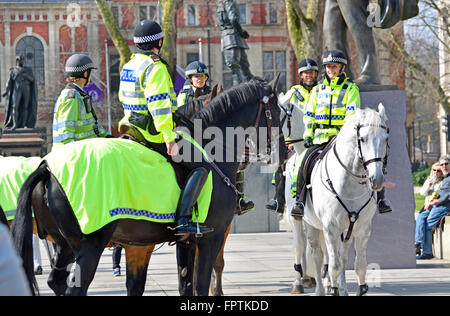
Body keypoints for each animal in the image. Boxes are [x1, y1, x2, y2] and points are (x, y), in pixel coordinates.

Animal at [12, 78, 286, 296]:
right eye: (278, 113)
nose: (284, 152)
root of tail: (47, 167)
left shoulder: (183, 242)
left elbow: (183, 286)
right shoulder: (211, 236)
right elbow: (200, 285)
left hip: (64, 244)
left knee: (57, 281)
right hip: (90, 244)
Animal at [302, 105, 390, 296]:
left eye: (386, 138)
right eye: (362, 139)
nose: (377, 179)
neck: (350, 185)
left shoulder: (363, 229)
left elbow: (359, 265)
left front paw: (358, 288)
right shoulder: (330, 227)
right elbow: (333, 266)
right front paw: (332, 288)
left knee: (341, 256)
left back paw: (341, 288)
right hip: (311, 225)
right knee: (318, 256)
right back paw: (320, 289)